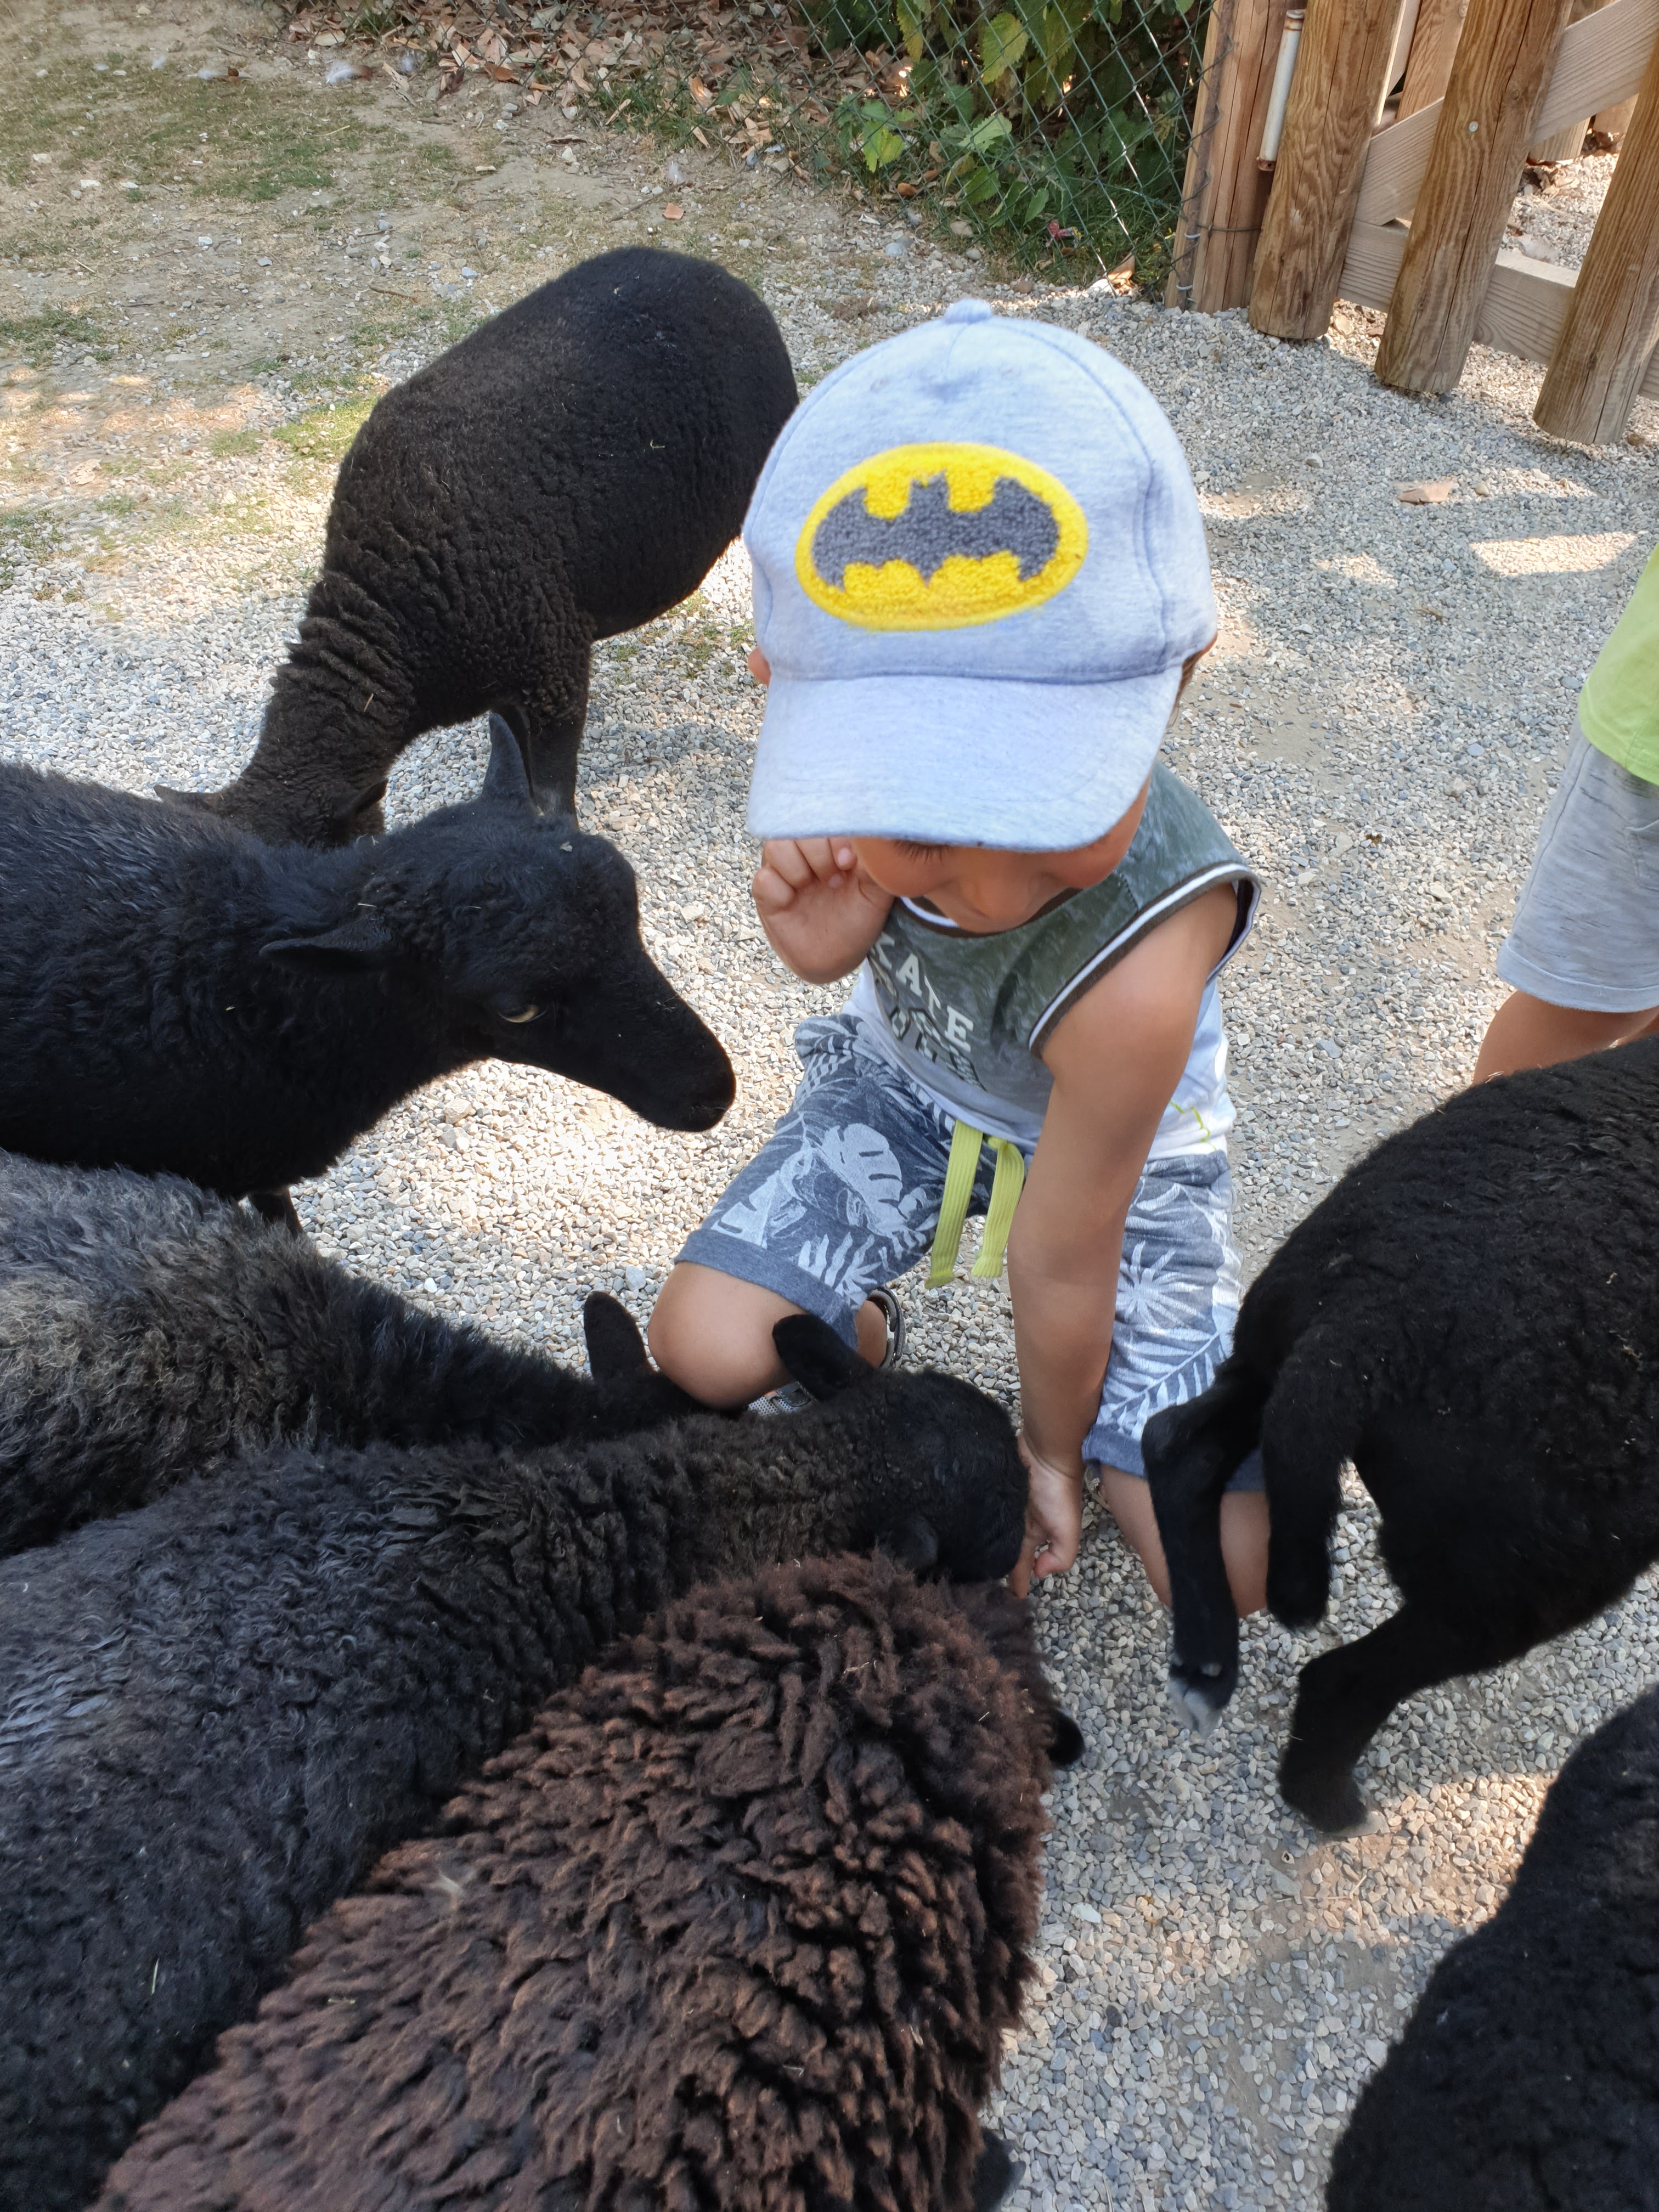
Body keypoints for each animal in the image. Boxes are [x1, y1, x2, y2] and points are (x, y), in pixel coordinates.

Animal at [163, 248, 797, 845]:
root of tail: (721, 277)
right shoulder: (508, 675)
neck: (392, 614)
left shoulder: (554, 665)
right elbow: (514, 755)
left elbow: (552, 789)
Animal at [1142, 1037, 1659, 1835]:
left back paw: (1205, 1666)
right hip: (1510, 1585)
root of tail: (1366, 1327)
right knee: (1344, 1681)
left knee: (1178, 1449)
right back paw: (1328, 1802)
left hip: (1270, 1351)